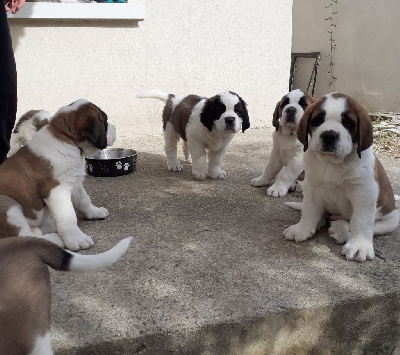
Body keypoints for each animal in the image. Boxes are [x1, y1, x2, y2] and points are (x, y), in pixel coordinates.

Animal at [0, 98, 117, 252]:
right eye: (105, 121)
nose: (115, 129)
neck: (67, 139)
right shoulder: (57, 190)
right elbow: (68, 216)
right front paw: (77, 239)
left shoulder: (73, 180)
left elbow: (84, 199)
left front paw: (95, 212)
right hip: (8, 205)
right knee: (22, 237)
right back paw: (55, 240)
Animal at [282, 93, 398, 262]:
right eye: (318, 119)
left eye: (348, 122)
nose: (329, 135)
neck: (332, 162)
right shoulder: (311, 186)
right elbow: (309, 209)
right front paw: (302, 229)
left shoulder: (364, 192)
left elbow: (360, 220)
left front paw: (359, 246)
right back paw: (321, 221)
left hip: (392, 218)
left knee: (360, 223)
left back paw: (341, 228)